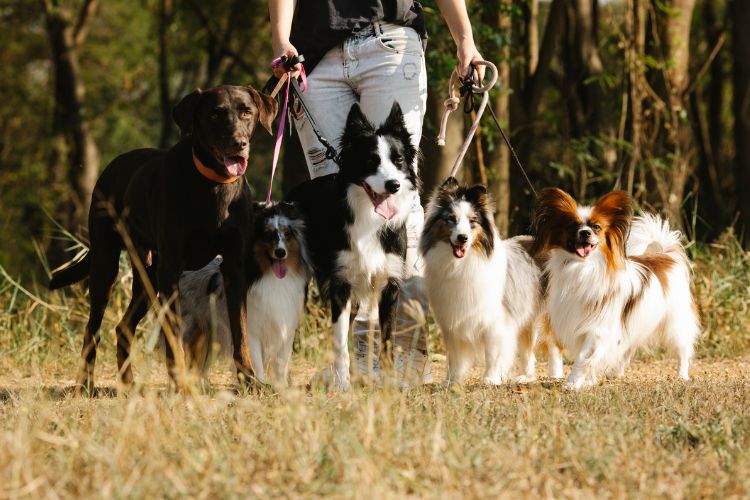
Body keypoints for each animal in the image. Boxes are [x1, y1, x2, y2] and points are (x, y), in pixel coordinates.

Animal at [536, 189, 700, 388]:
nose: (585, 233)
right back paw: (617, 373)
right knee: (627, 348)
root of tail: (666, 256)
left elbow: (584, 357)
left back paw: (682, 375)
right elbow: (590, 358)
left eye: (596, 227)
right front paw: (588, 381)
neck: (583, 267)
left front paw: (573, 383)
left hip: (675, 322)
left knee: (683, 348)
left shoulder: (597, 328)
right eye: (573, 225)